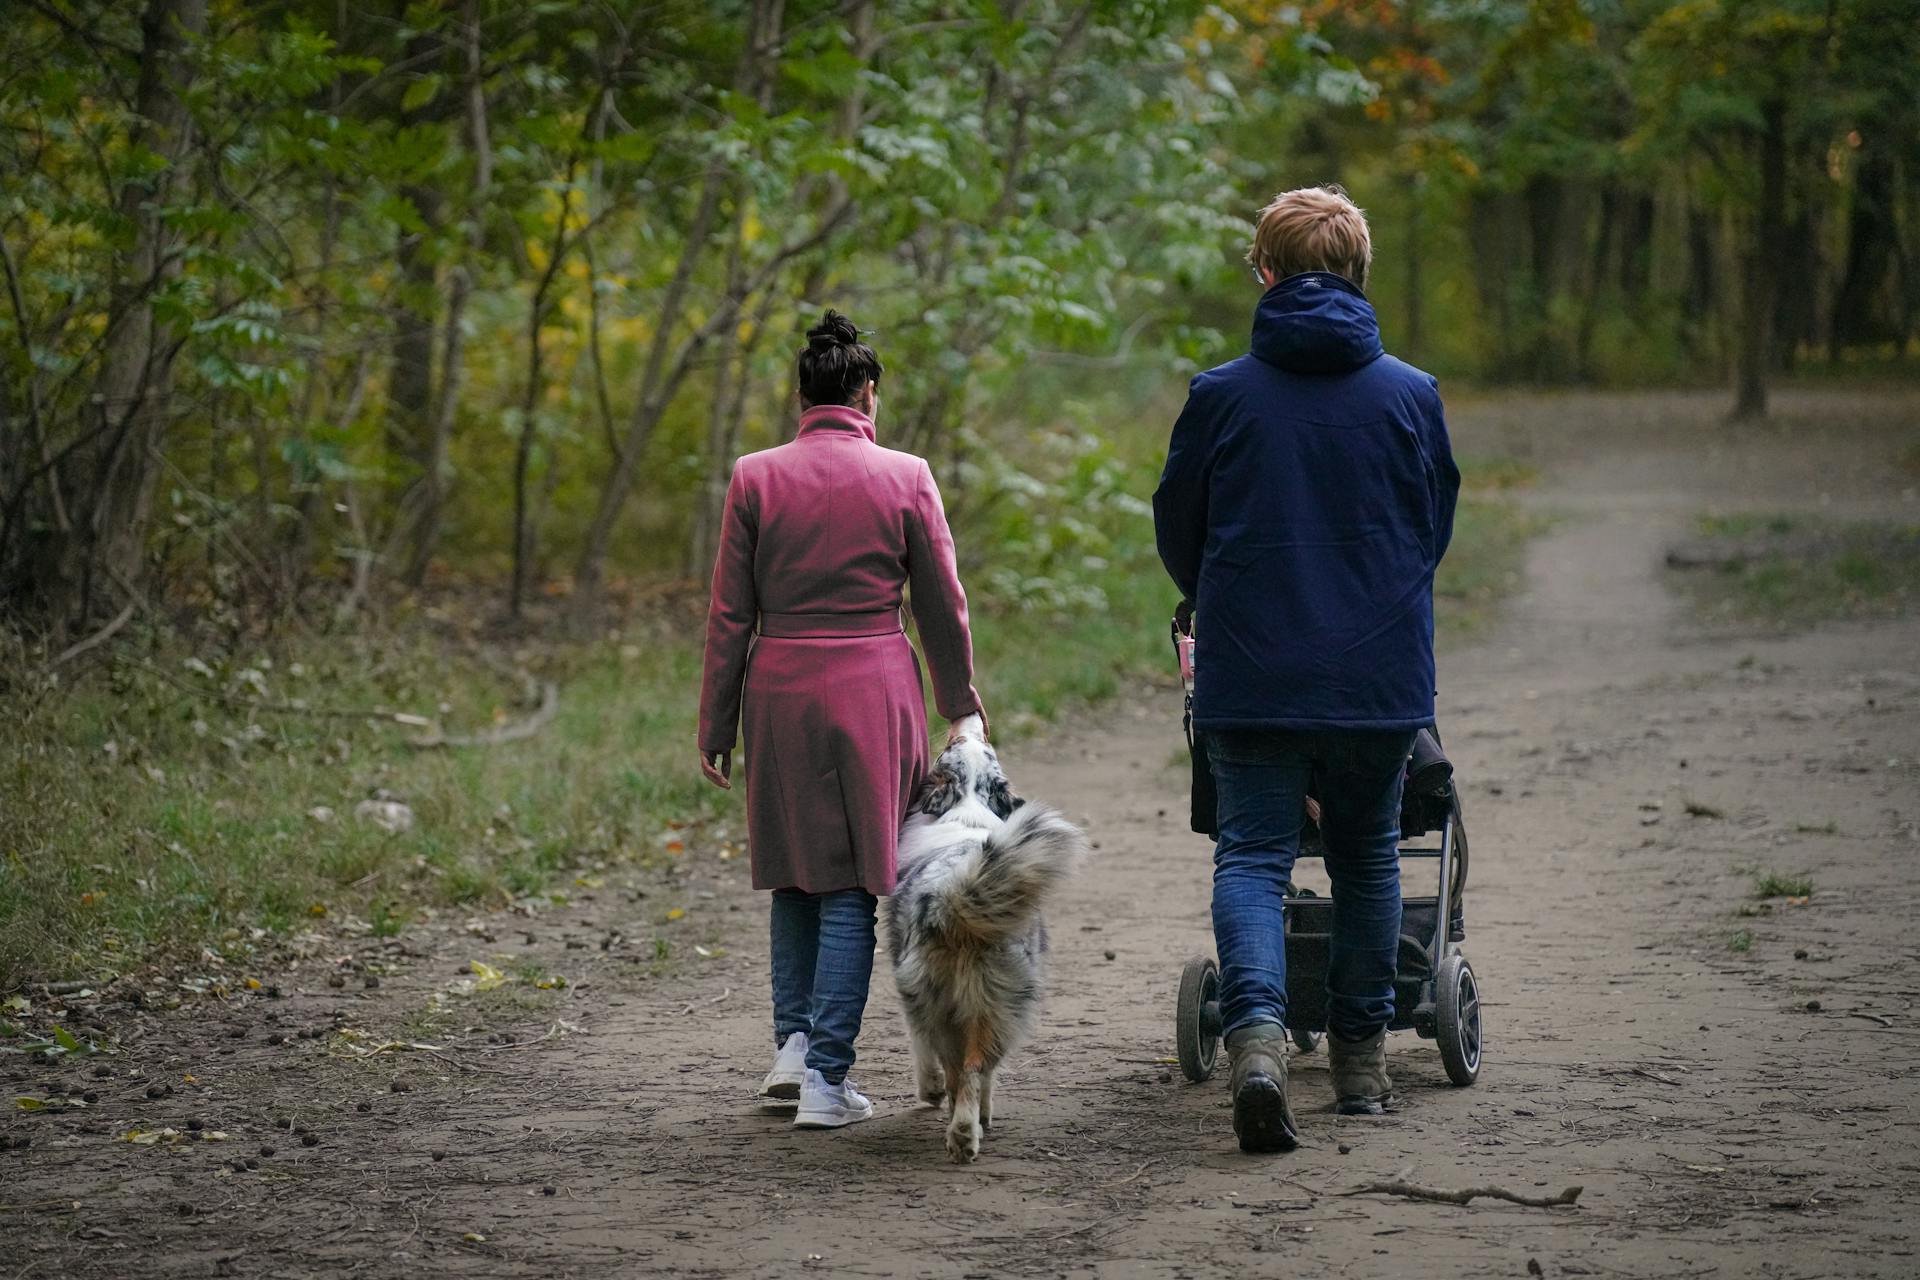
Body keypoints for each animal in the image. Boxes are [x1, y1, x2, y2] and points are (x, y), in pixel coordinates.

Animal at [879, 717, 1082, 1166]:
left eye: (948, 748)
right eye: (969, 745)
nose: (970, 724)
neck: (967, 808)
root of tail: (952, 904)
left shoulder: (908, 995)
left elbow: (920, 1050)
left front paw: (930, 1090)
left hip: (942, 1005)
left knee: (960, 1070)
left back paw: (960, 1132)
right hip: (1000, 1002)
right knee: (977, 1067)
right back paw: (967, 1132)